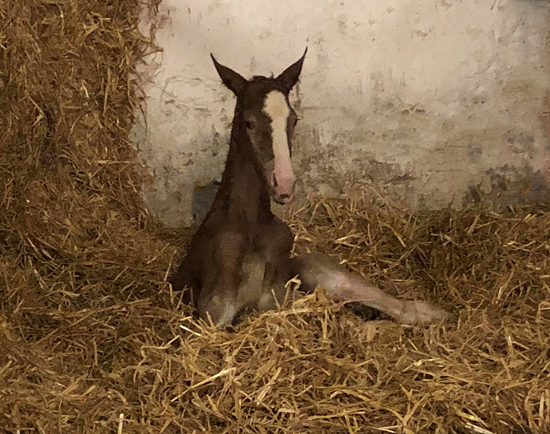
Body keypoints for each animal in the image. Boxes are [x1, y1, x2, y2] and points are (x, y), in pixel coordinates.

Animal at [171, 50, 448, 328]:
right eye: (248, 122)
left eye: (293, 120)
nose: (284, 185)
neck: (251, 226)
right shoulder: (213, 314)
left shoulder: (281, 294)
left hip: (321, 270)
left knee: (395, 308)